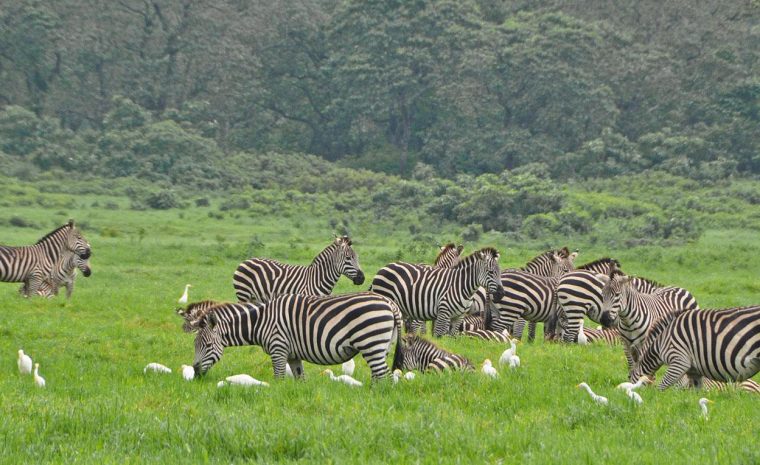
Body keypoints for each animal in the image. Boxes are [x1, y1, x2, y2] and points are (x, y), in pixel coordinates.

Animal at [183, 292, 402, 381]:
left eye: (207, 346)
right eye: (195, 345)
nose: (196, 372)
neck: (261, 321)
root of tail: (389, 302)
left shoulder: (278, 349)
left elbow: (279, 378)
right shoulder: (293, 355)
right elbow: (299, 379)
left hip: (371, 342)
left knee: (384, 375)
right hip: (381, 346)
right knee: (380, 375)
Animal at [232, 236, 364, 303]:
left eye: (357, 257)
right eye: (348, 258)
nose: (362, 278)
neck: (317, 278)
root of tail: (246, 260)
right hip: (244, 295)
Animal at [370, 248, 504, 337]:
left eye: (499, 271)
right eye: (490, 272)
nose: (501, 294)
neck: (461, 286)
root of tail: (383, 267)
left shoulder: (458, 317)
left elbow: (451, 338)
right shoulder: (443, 314)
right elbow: (437, 335)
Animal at [630, 306, 760, 390]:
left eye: (629, 377)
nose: (628, 398)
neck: (661, 341)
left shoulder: (679, 361)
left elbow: (661, 387)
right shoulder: (694, 371)